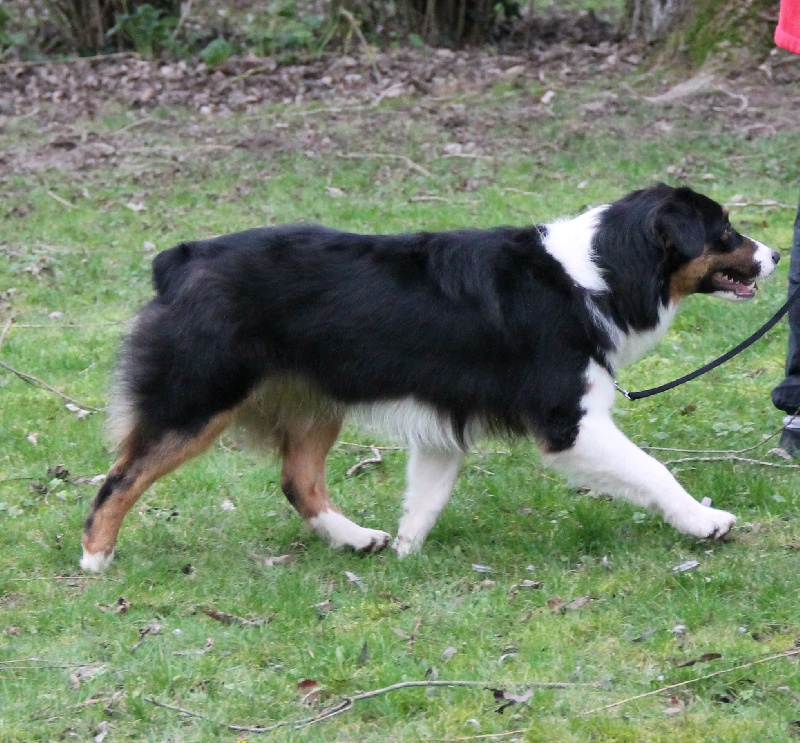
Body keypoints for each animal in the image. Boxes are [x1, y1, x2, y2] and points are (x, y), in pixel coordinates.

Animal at [80, 184, 779, 571]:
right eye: (725, 230)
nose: (777, 254)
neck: (600, 272)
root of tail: (179, 261)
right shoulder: (568, 421)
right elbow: (653, 470)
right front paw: (703, 522)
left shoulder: (447, 418)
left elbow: (427, 496)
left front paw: (407, 554)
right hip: (196, 399)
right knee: (119, 479)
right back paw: (95, 559)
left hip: (315, 400)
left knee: (298, 480)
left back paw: (355, 539)